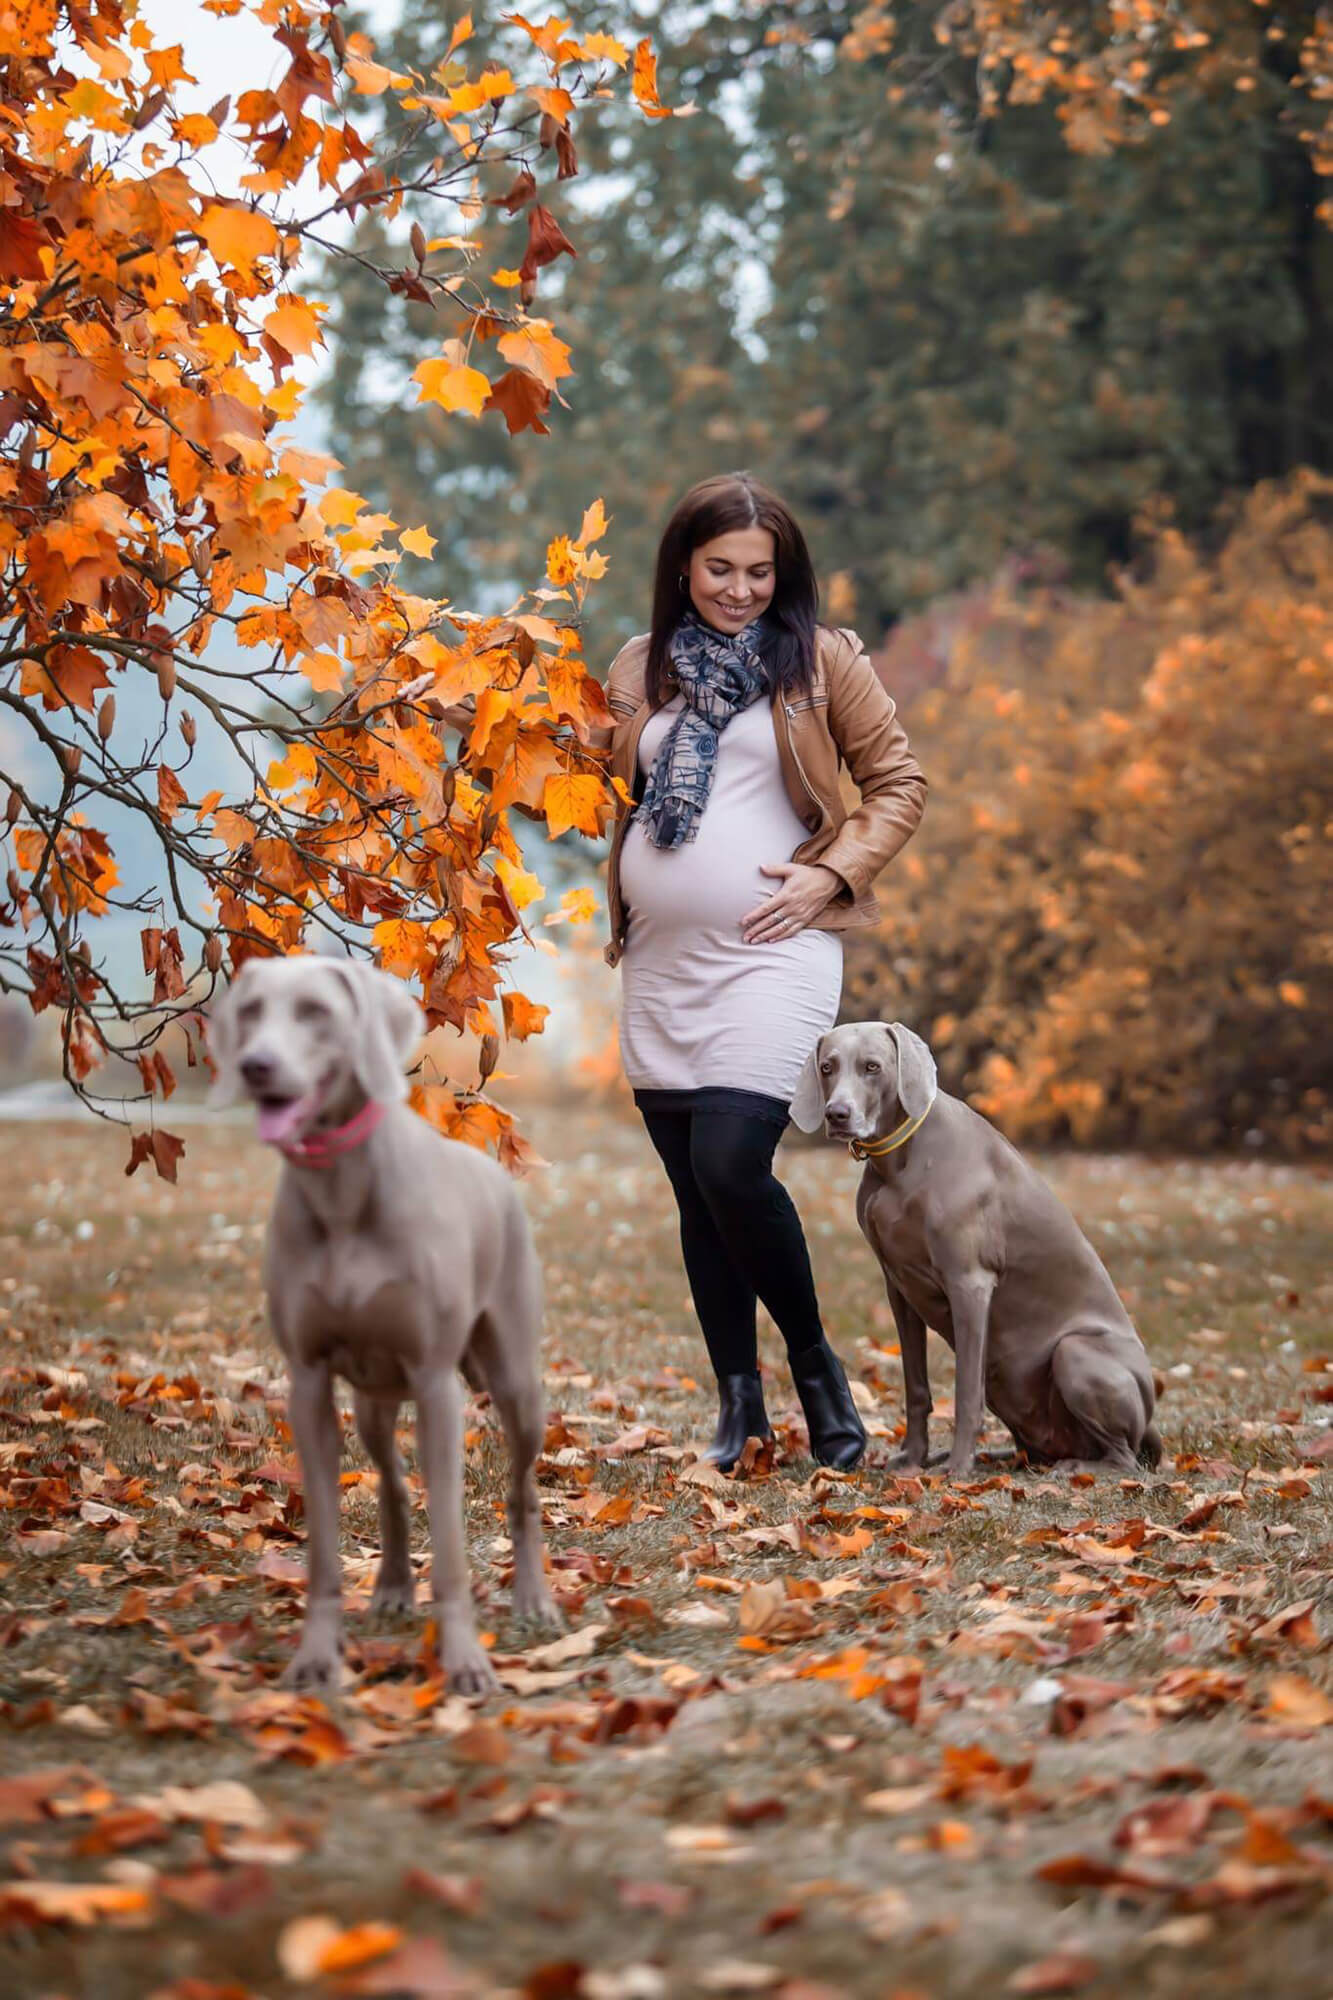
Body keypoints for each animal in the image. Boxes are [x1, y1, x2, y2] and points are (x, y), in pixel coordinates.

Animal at [206, 952, 556, 1688]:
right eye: (249, 1012)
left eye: (315, 1011)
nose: (255, 1064)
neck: (340, 1191)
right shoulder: (308, 1382)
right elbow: (322, 1546)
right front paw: (315, 1657)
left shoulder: (435, 1382)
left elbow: (450, 1545)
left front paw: (465, 1662)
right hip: (372, 1400)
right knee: (393, 1486)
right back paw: (394, 1586)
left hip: (515, 1379)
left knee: (521, 1491)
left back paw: (533, 1599)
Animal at [788, 1024, 1152, 1480]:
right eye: (827, 1067)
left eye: (872, 1067)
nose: (837, 1114)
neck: (901, 1161)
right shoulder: (899, 1288)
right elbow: (916, 1386)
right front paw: (914, 1458)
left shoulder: (969, 1283)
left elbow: (964, 1391)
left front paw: (959, 1468)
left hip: (1074, 1352)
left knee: (1124, 1459)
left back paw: (1069, 1468)